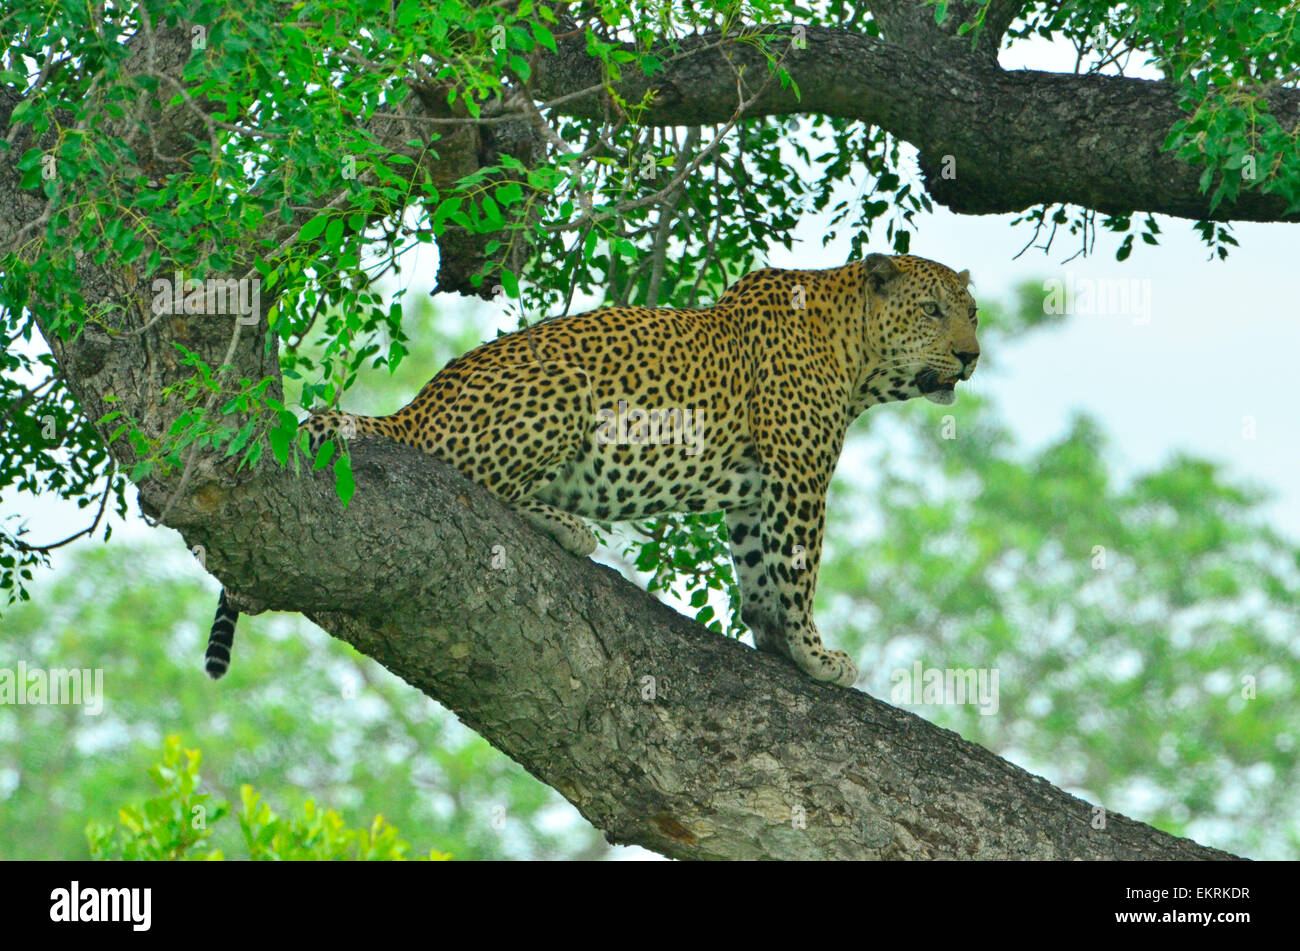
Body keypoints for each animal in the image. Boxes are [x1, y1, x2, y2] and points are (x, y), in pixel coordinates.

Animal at [205, 253, 980, 686]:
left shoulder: (761, 487)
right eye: (932, 309)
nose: (971, 356)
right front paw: (817, 655)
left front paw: (775, 641)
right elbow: (799, 570)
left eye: (970, 311)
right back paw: (566, 525)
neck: (857, 352)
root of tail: (413, 409)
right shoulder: (798, 476)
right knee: (472, 482)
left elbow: (759, 566)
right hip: (564, 389)